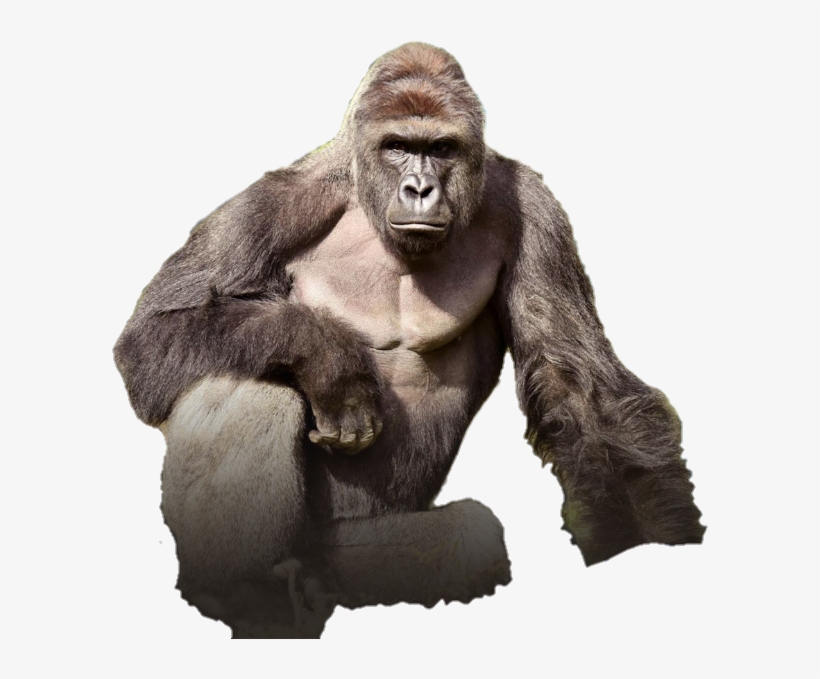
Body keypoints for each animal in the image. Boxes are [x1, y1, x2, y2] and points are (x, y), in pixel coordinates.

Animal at [114, 43, 704, 638]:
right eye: (397, 147)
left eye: (440, 148)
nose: (420, 189)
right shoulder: (276, 202)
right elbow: (152, 335)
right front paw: (328, 358)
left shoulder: (537, 211)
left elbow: (581, 392)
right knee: (243, 387)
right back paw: (243, 594)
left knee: (470, 538)